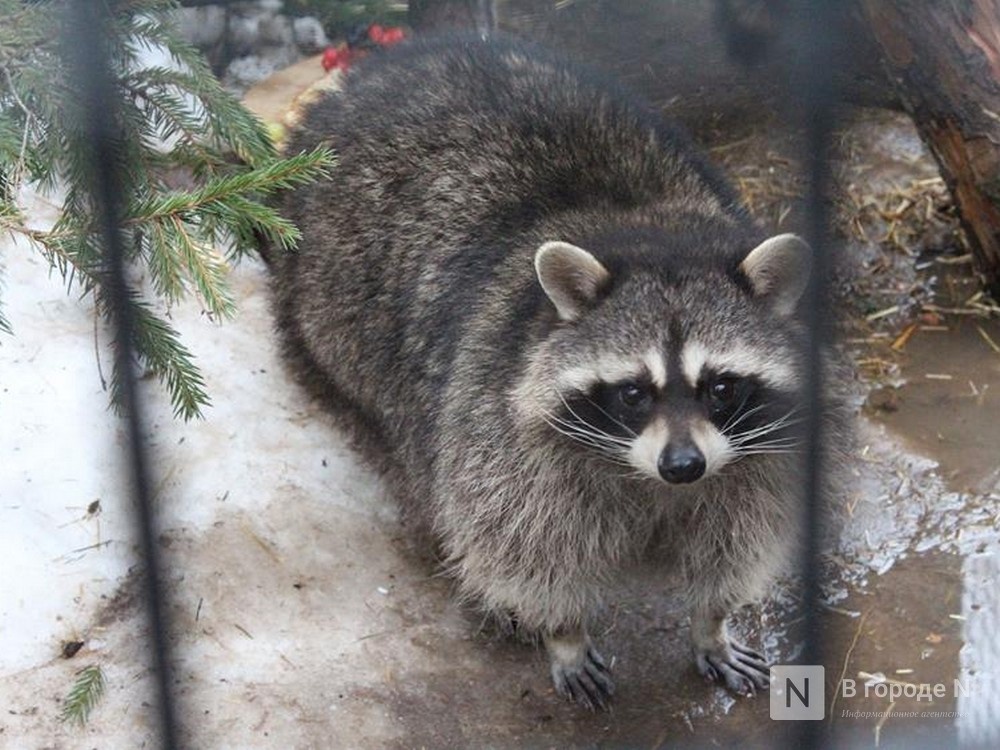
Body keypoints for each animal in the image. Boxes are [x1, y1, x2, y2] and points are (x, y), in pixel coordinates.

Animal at [268, 30, 820, 712]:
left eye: (720, 386)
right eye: (633, 392)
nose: (683, 466)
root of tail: (376, 74)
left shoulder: (766, 450)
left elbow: (740, 538)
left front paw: (711, 622)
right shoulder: (497, 427)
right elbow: (526, 549)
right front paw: (563, 633)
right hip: (334, 313)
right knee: (410, 450)